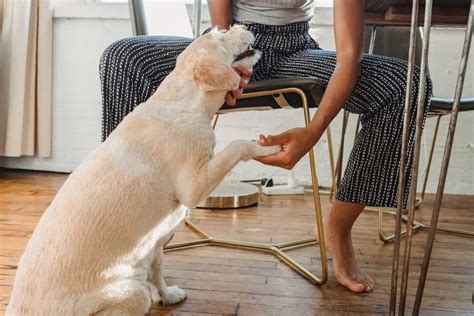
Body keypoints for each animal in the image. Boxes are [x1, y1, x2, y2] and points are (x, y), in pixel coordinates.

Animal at [6, 25, 282, 316]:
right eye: (220, 36)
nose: (244, 26)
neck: (183, 103)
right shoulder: (194, 187)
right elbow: (238, 145)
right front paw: (266, 148)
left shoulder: (155, 243)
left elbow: (158, 270)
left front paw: (167, 295)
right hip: (132, 293)